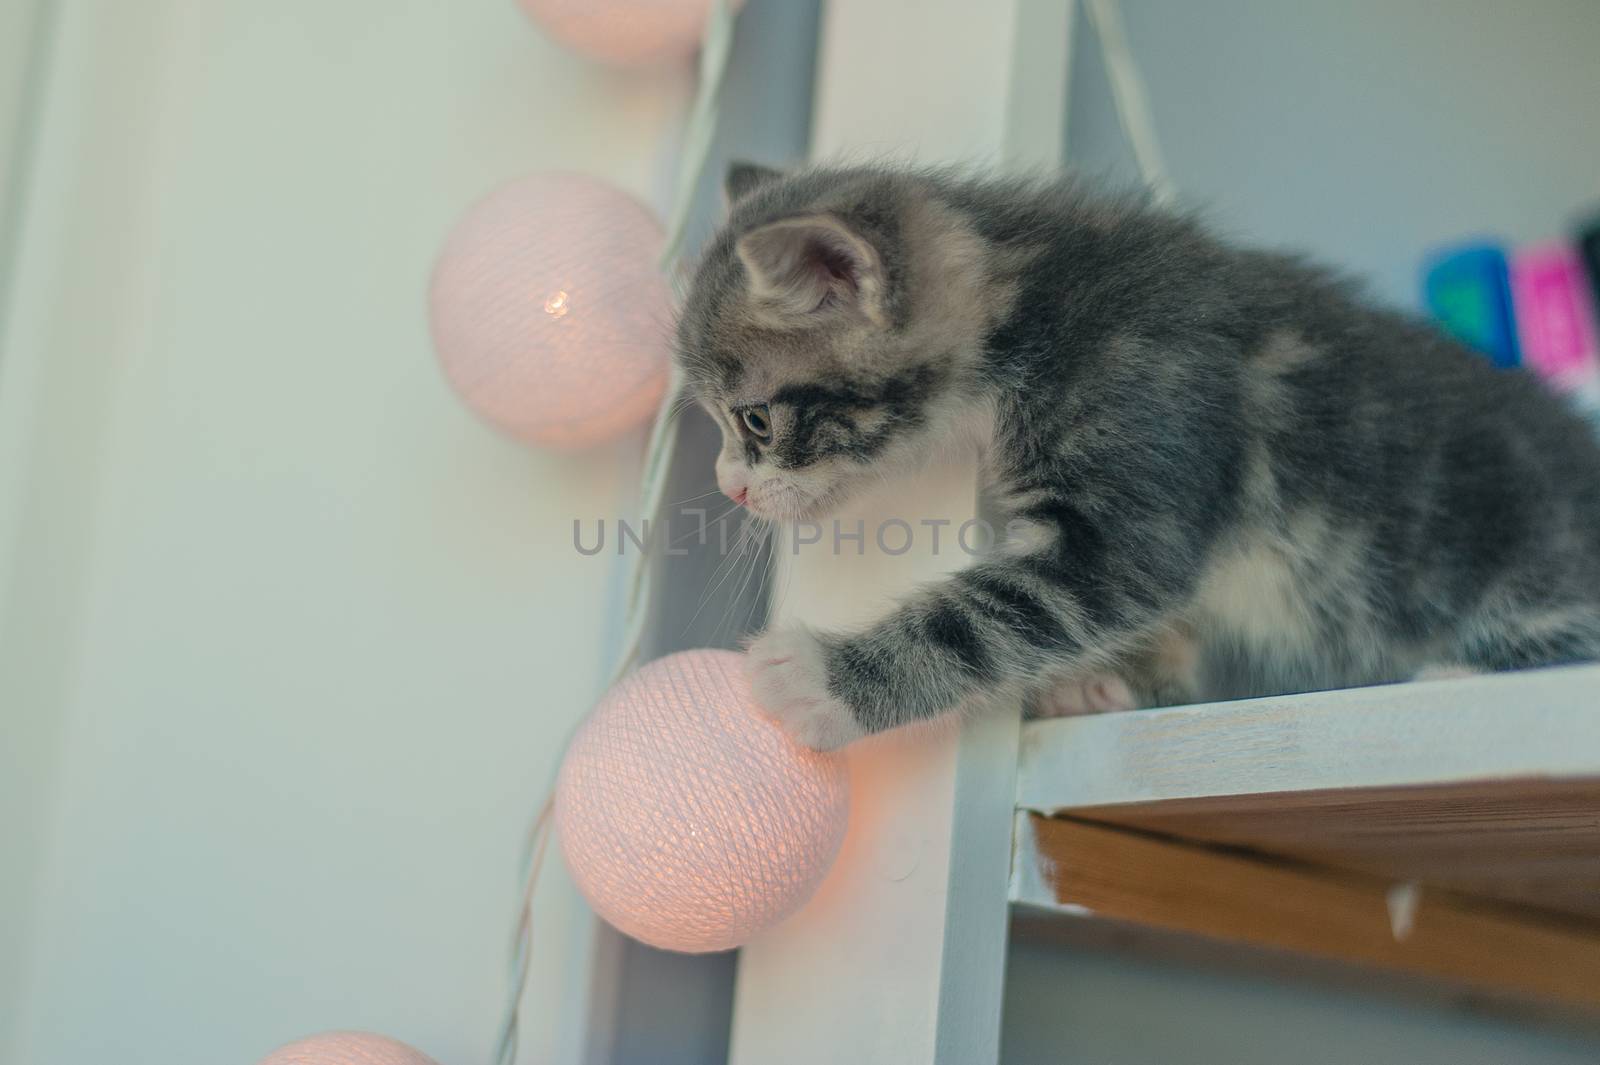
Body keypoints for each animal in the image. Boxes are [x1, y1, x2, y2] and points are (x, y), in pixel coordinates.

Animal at [675, 163, 1600, 745]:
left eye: (755, 421)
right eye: (723, 424)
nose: (729, 488)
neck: (1032, 307)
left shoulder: (1139, 472)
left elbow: (996, 613)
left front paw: (824, 682)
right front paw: (1111, 679)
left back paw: (1466, 675)